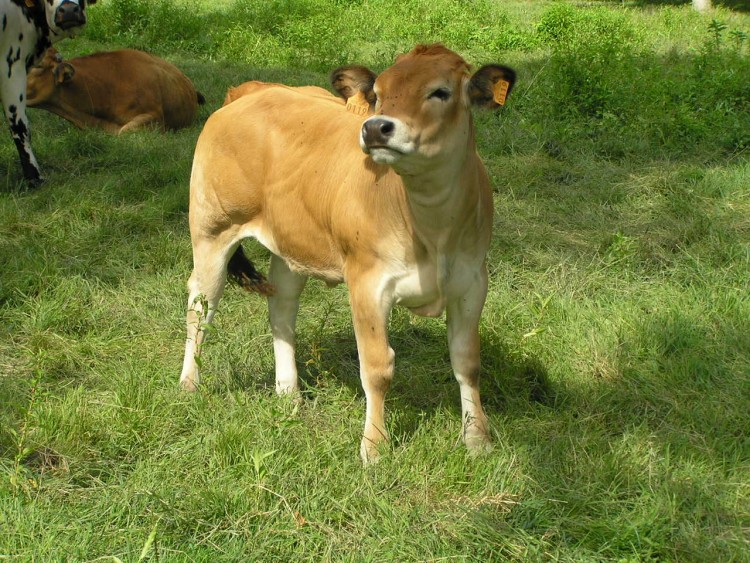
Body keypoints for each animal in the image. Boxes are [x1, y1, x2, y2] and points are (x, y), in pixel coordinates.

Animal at [181, 44, 516, 464]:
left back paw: (288, 392)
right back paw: (189, 384)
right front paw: (374, 446)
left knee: (281, 311)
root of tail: (253, 89)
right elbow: (377, 367)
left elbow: (467, 361)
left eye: (440, 91)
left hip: (291, 244)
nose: (374, 128)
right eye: (378, 93)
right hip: (211, 230)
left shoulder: (472, 282)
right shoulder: (367, 283)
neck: (431, 226)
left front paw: (477, 438)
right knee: (200, 307)